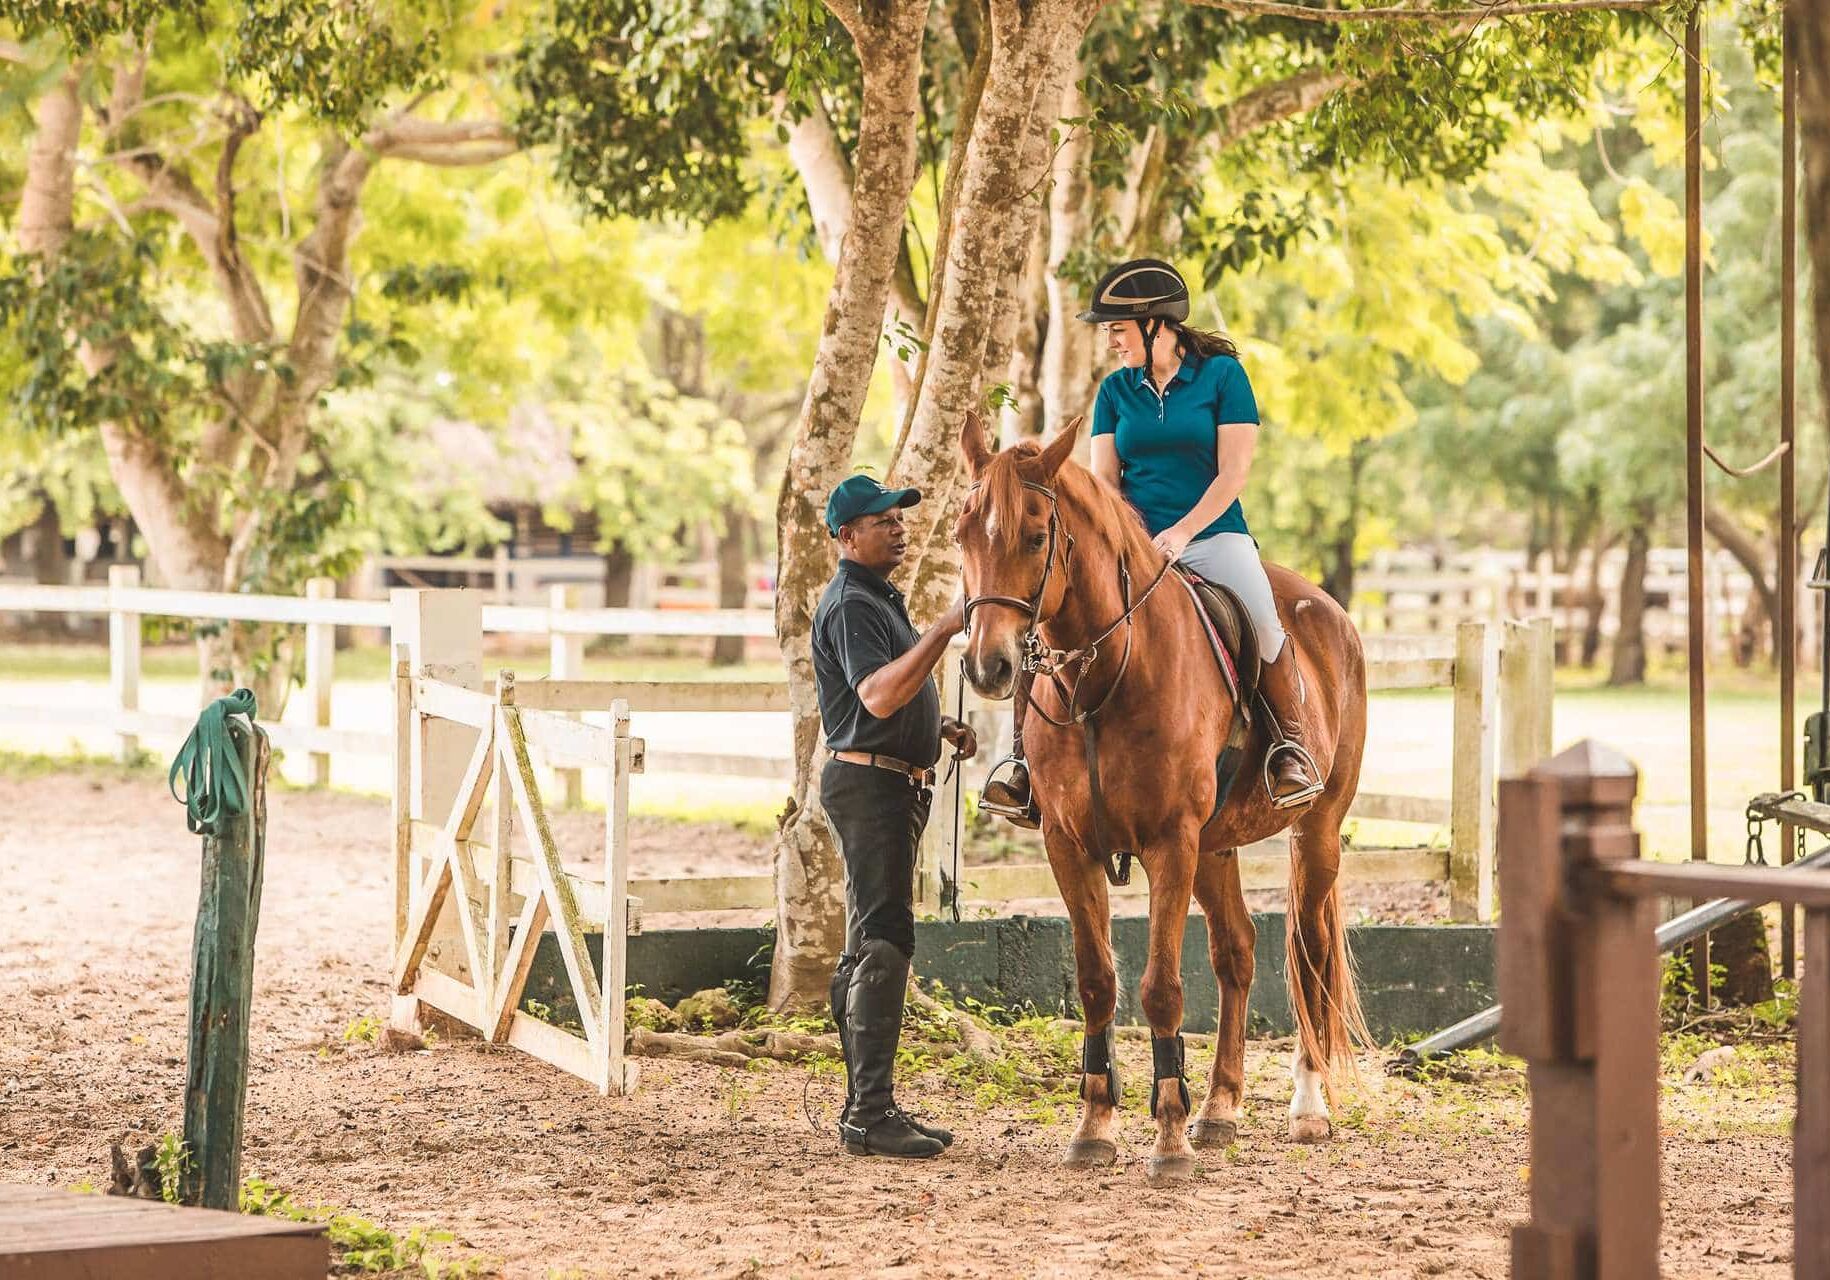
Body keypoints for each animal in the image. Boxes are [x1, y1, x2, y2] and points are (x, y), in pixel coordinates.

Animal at [958, 415, 1376, 1186]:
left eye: (1034, 535)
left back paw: (1306, 1107)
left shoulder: (1169, 842)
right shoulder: (1069, 844)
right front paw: (1096, 1126)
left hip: (1316, 832)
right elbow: (1098, 981)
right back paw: (1220, 1108)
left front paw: (1169, 1138)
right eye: (961, 534)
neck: (1104, 682)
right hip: (1216, 847)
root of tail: (1330, 612)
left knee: (1307, 953)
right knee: (1237, 953)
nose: (988, 665)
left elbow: (1161, 987)